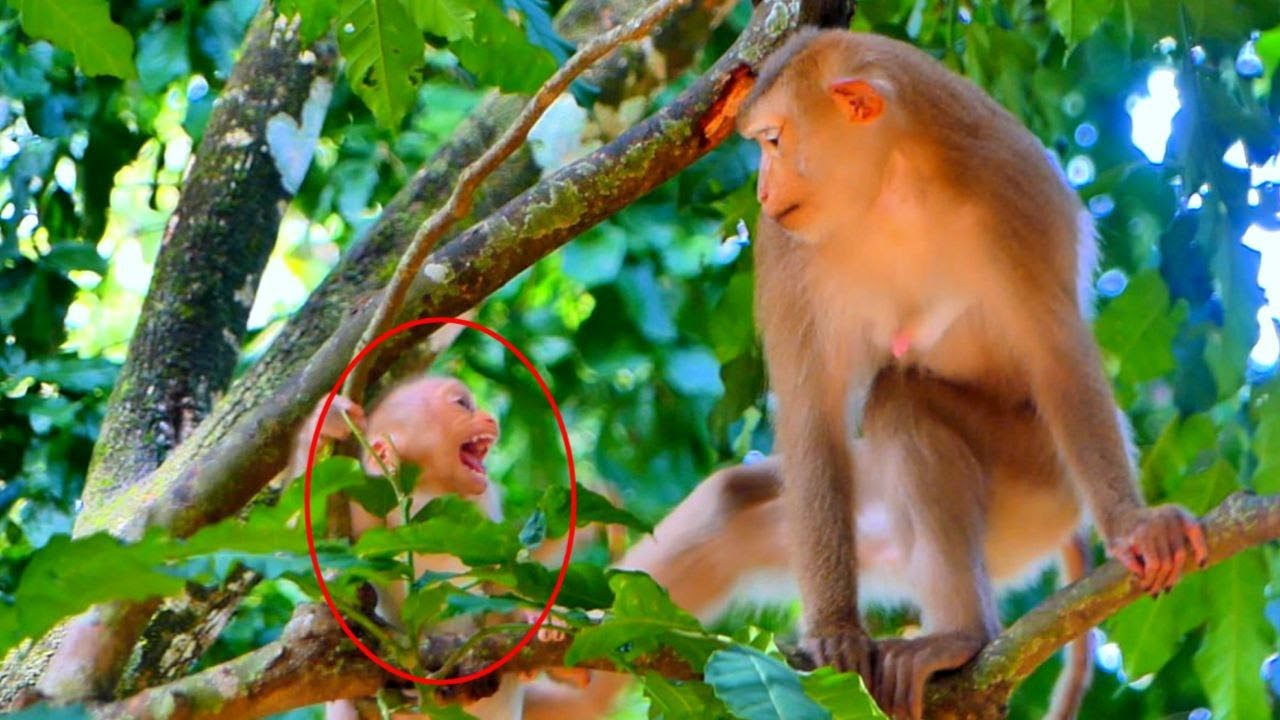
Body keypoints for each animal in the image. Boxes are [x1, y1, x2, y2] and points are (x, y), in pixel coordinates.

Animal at [731, 29, 1208, 719]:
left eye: (772, 141)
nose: (764, 192)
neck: (891, 189)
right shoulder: (787, 252)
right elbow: (812, 420)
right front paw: (837, 631)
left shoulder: (1011, 195)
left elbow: (1058, 362)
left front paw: (1133, 524)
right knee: (899, 402)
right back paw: (957, 638)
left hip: (1042, 475)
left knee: (904, 399)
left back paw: (959, 638)